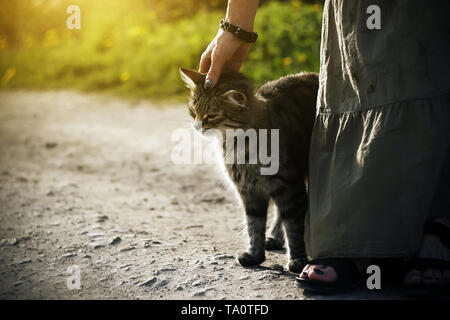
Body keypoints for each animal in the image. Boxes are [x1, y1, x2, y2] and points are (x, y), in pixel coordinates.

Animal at [181, 67, 318, 272]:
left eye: (211, 116)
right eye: (193, 112)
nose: (197, 126)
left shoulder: (289, 187)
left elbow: (294, 227)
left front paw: (298, 259)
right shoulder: (249, 190)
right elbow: (254, 226)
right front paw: (255, 255)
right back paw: (274, 237)